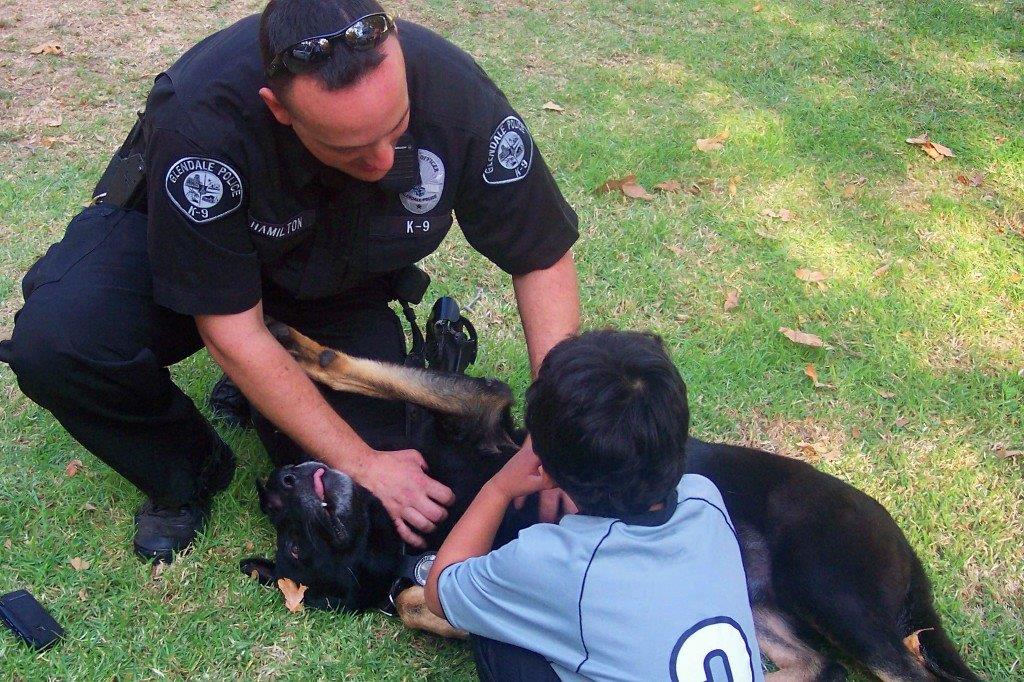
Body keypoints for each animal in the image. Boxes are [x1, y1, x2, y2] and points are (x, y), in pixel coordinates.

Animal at [239, 323, 974, 679]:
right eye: (293, 546)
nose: (278, 483)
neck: (406, 538)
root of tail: (909, 554)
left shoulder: (482, 412)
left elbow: (358, 367)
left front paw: (286, 340)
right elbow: (416, 602)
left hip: (830, 588)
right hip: (765, 602)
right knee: (820, 666)